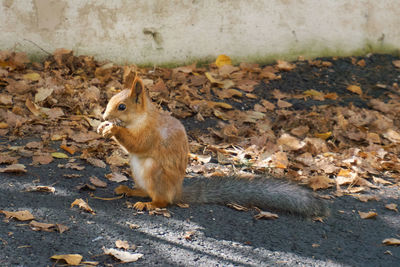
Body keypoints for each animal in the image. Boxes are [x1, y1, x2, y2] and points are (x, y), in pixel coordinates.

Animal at [97, 75, 328, 218]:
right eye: (110, 100)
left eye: (122, 106)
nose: (105, 116)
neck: (140, 119)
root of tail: (176, 192)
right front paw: (103, 126)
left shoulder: (151, 133)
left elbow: (138, 144)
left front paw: (112, 129)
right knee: (146, 191)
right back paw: (131, 190)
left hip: (155, 173)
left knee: (162, 201)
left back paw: (150, 204)